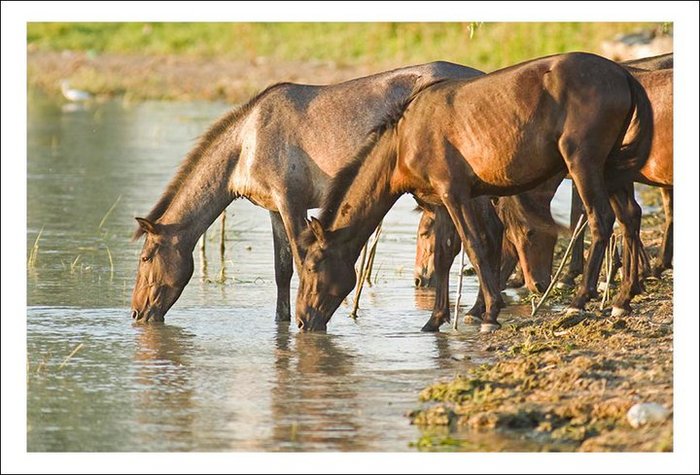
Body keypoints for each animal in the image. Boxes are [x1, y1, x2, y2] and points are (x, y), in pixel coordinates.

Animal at [127, 62, 486, 324]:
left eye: (145, 258)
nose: (136, 312)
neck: (248, 141)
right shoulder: (274, 209)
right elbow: (282, 270)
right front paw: (281, 321)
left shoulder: (291, 203)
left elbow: (300, 264)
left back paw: (476, 312)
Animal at [294, 52, 652, 332]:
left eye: (311, 266)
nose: (301, 321)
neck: (404, 139)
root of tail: (622, 74)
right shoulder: (442, 202)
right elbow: (444, 255)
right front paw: (435, 319)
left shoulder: (455, 194)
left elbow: (476, 245)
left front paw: (489, 313)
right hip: (612, 169)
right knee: (629, 218)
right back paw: (624, 298)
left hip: (584, 165)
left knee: (600, 221)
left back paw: (579, 300)